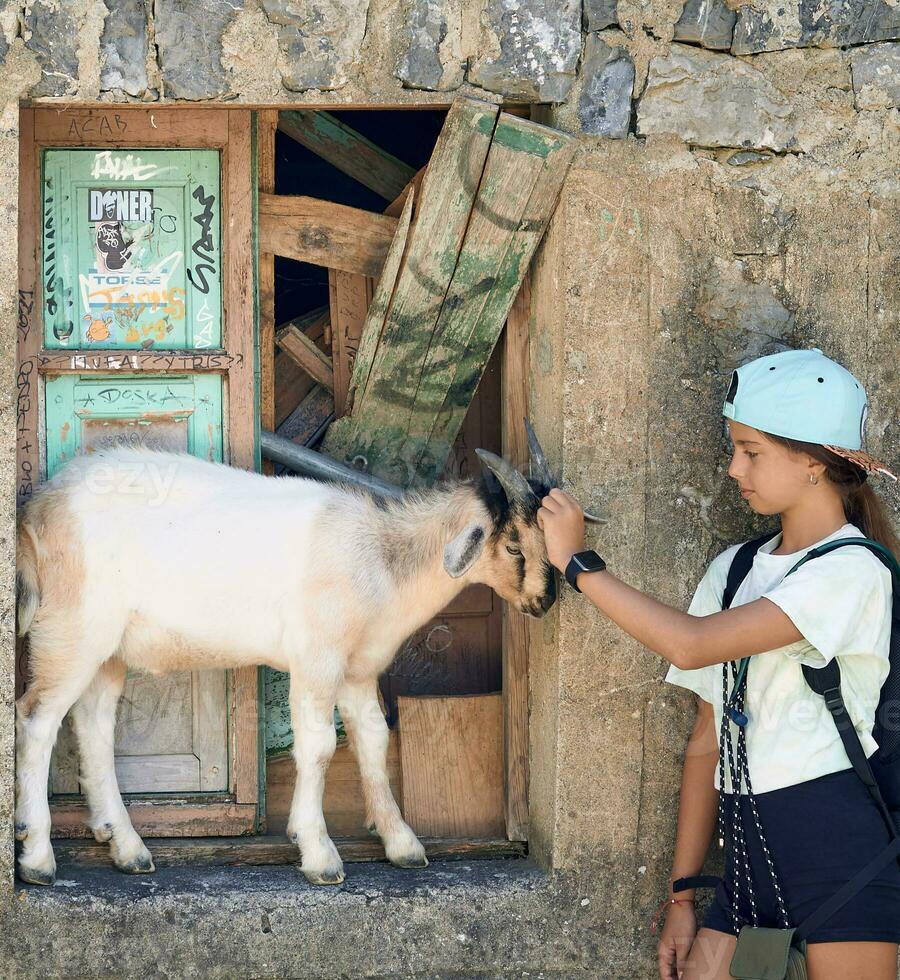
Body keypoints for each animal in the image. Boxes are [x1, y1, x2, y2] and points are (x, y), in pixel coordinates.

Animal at [15, 446, 556, 888]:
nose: (544, 600)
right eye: (513, 545)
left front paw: (403, 844)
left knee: (93, 727)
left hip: (107, 650)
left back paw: (128, 848)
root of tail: (39, 508)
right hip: (72, 629)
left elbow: (374, 742)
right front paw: (318, 853)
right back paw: (38, 857)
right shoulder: (317, 658)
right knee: (36, 719)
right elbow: (318, 747)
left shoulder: (357, 670)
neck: (379, 559)